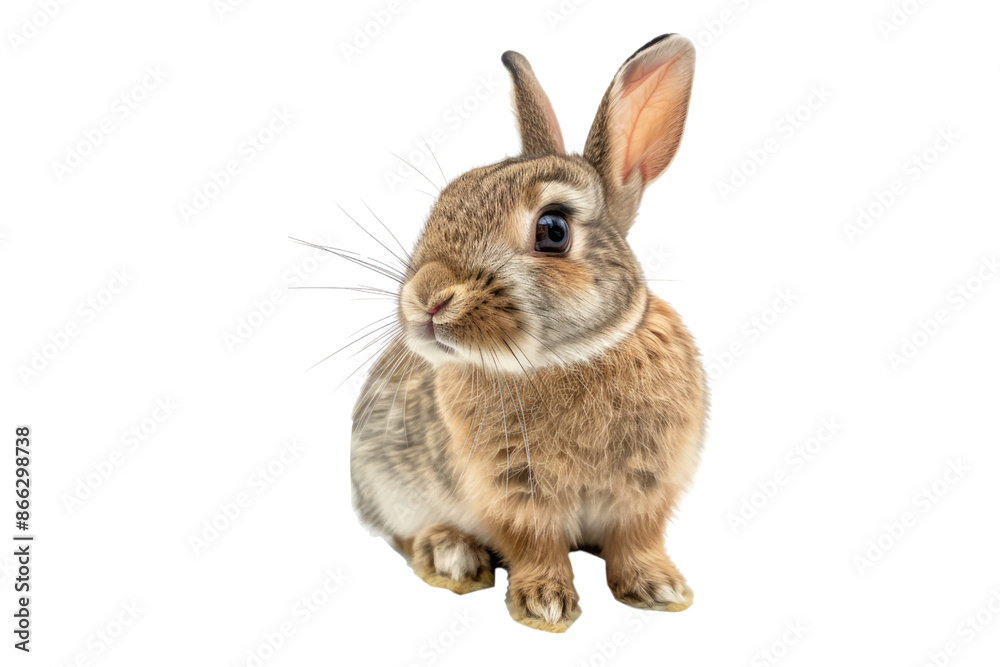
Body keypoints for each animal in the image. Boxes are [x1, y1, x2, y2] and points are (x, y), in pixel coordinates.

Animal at [350, 33, 706, 633]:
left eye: (553, 229)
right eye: (445, 199)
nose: (427, 297)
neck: (573, 357)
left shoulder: (647, 488)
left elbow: (637, 539)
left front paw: (660, 589)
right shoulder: (510, 490)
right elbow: (534, 544)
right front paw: (546, 605)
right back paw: (450, 554)